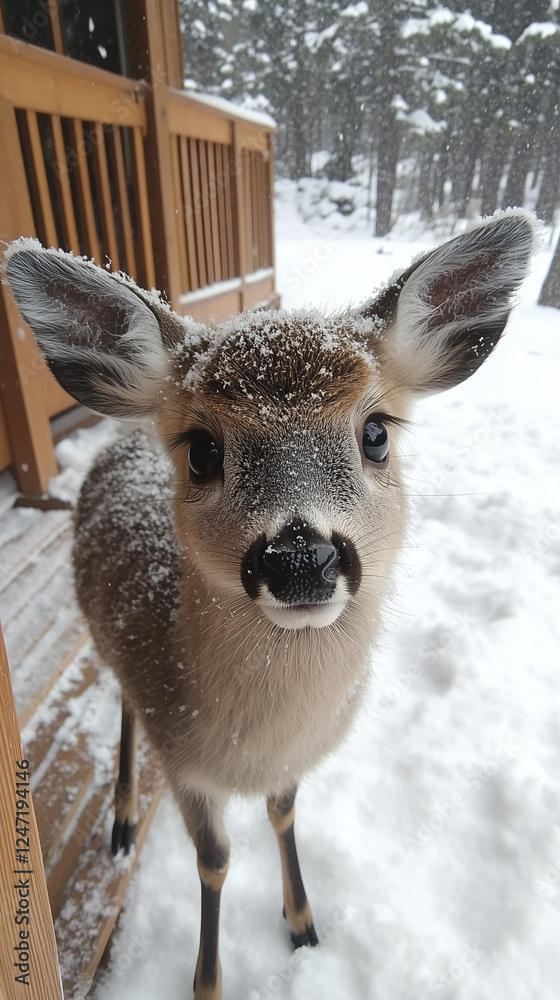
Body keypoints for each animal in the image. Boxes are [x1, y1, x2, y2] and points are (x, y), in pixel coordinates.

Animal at [3, 211, 534, 1000]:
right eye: (202, 450)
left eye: (376, 432)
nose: (300, 558)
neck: (250, 747)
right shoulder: (185, 764)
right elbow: (215, 860)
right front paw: (207, 981)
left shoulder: (293, 762)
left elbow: (285, 811)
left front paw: (303, 923)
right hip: (102, 634)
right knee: (124, 700)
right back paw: (124, 818)